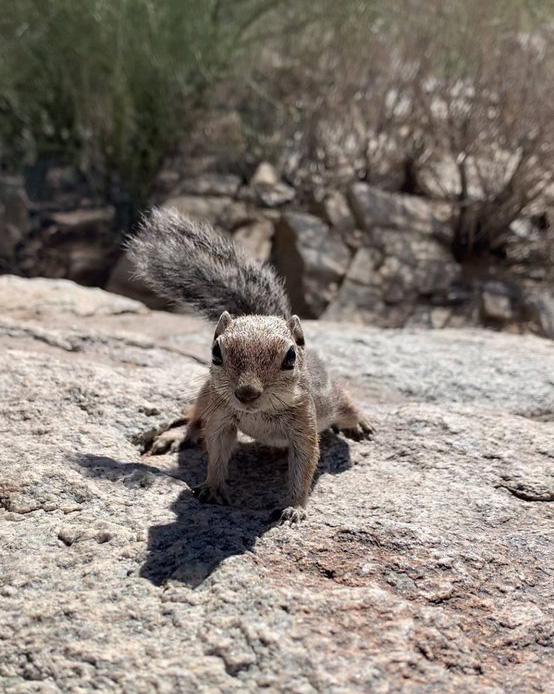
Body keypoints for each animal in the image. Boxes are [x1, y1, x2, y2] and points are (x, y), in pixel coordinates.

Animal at [127, 209, 374, 524]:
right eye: (216, 352)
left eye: (290, 357)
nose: (246, 392)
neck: (259, 414)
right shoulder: (221, 417)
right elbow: (216, 451)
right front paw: (211, 487)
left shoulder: (303, 424)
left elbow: (304, 464)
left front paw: (295, 507)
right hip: (207, 394)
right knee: (195, 417)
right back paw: (176, 436)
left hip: (331, 401)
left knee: (345, 400)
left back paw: (360, 422)